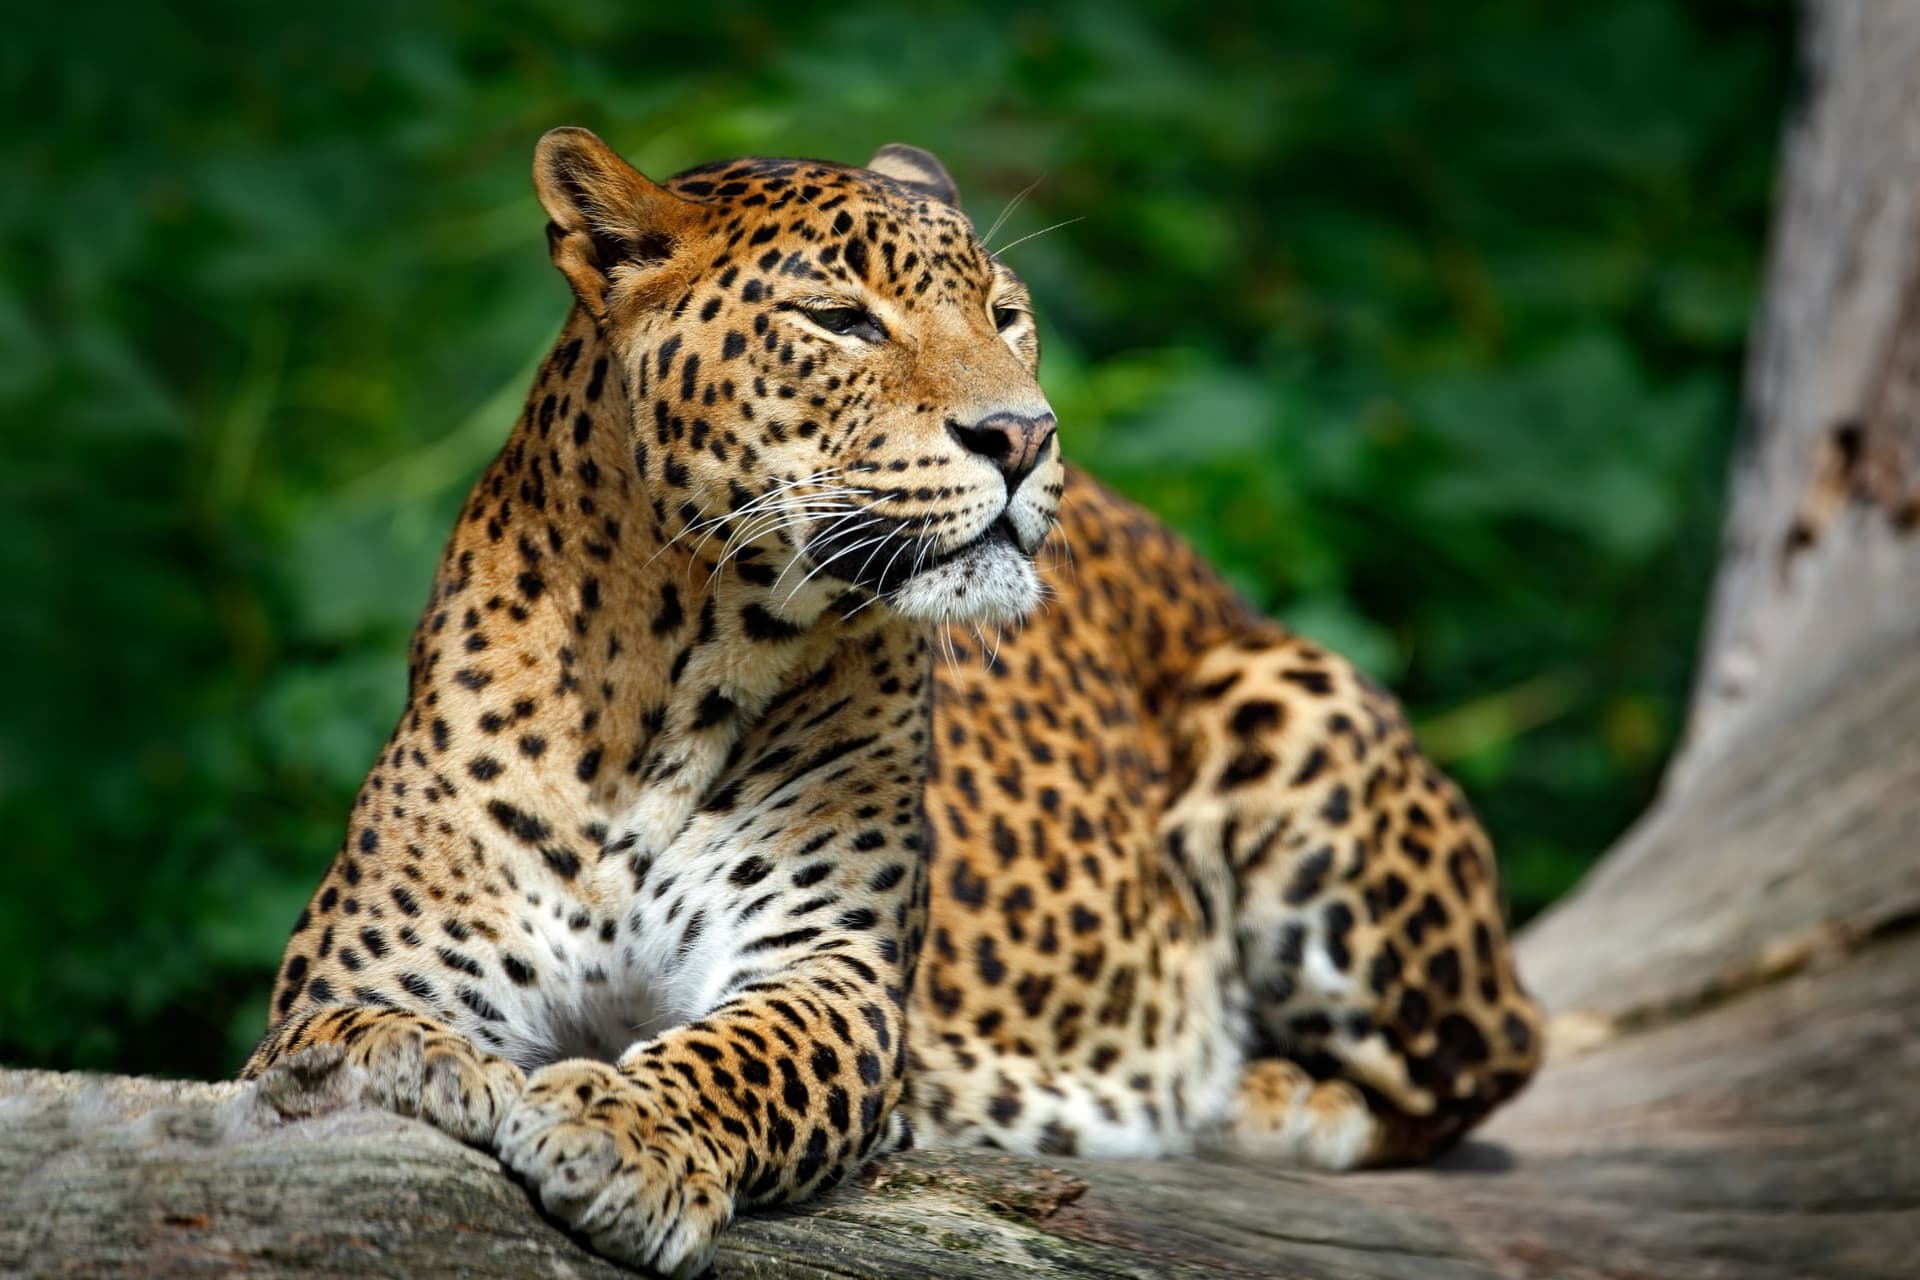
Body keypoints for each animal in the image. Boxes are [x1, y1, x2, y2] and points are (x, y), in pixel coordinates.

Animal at [243, 127, 1542, 1276]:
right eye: (841, 320)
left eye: (1006, 314)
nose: (1024, 433)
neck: (669, 678)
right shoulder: (363, 967)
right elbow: (338, 1039)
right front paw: (422, 1068)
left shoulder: (833, 969)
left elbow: (741, 1054)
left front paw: (620, 1131)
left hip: (1290, 698)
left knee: (1489, 1059)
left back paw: (1255, 1092)